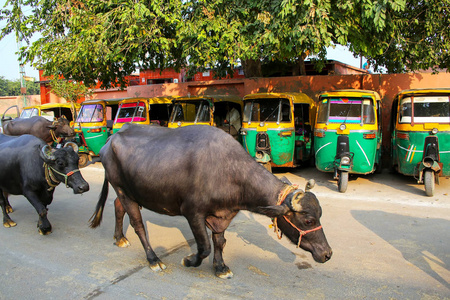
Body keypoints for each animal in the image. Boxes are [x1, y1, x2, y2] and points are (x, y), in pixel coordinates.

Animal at [89, 123, 332, 278]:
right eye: (308, 221)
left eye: (320, 216)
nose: (327, 254)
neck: (228, 171)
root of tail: (111, 139)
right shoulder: (193, 213)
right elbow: (204, 246)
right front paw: (189, 260)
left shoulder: (221, 215)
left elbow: (220, 241)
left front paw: (221, 268)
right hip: (122, 189)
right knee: (138, 225)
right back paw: (153, 259)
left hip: (128, 191)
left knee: (117, 207)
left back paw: (119, 238)